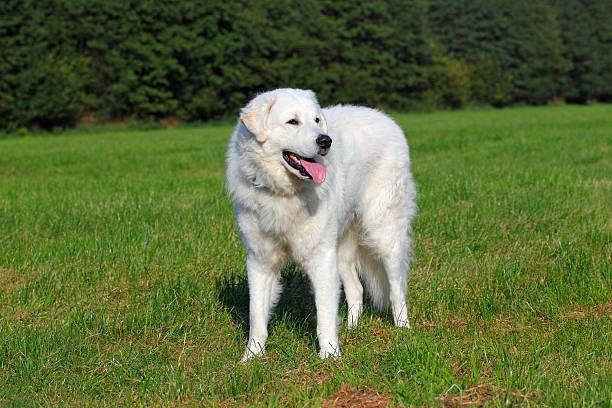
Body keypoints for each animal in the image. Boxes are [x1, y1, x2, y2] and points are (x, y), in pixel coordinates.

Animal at [227, 89, 418, 360]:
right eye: (292, 122)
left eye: (317, 120)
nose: (326, 141)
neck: (284, 193)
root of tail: (385, 118)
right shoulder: (260, 259)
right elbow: (257, 314)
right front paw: (252, 356)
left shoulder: (321, 257)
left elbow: (324, 314)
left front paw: (330, 356)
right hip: (341, 248)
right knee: (357, 289)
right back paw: (352, 327)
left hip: (383, 232)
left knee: (396, 288)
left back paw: (403, 329)